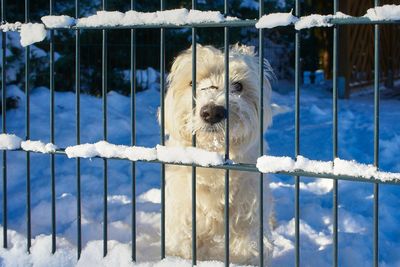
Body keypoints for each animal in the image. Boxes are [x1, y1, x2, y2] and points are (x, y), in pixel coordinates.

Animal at [164, 44, 274, 266]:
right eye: (192, 82)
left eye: (238, 86)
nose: (212, 112)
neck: (213, 160)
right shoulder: (184, 217)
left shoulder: (249, 217)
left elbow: (247, 251)